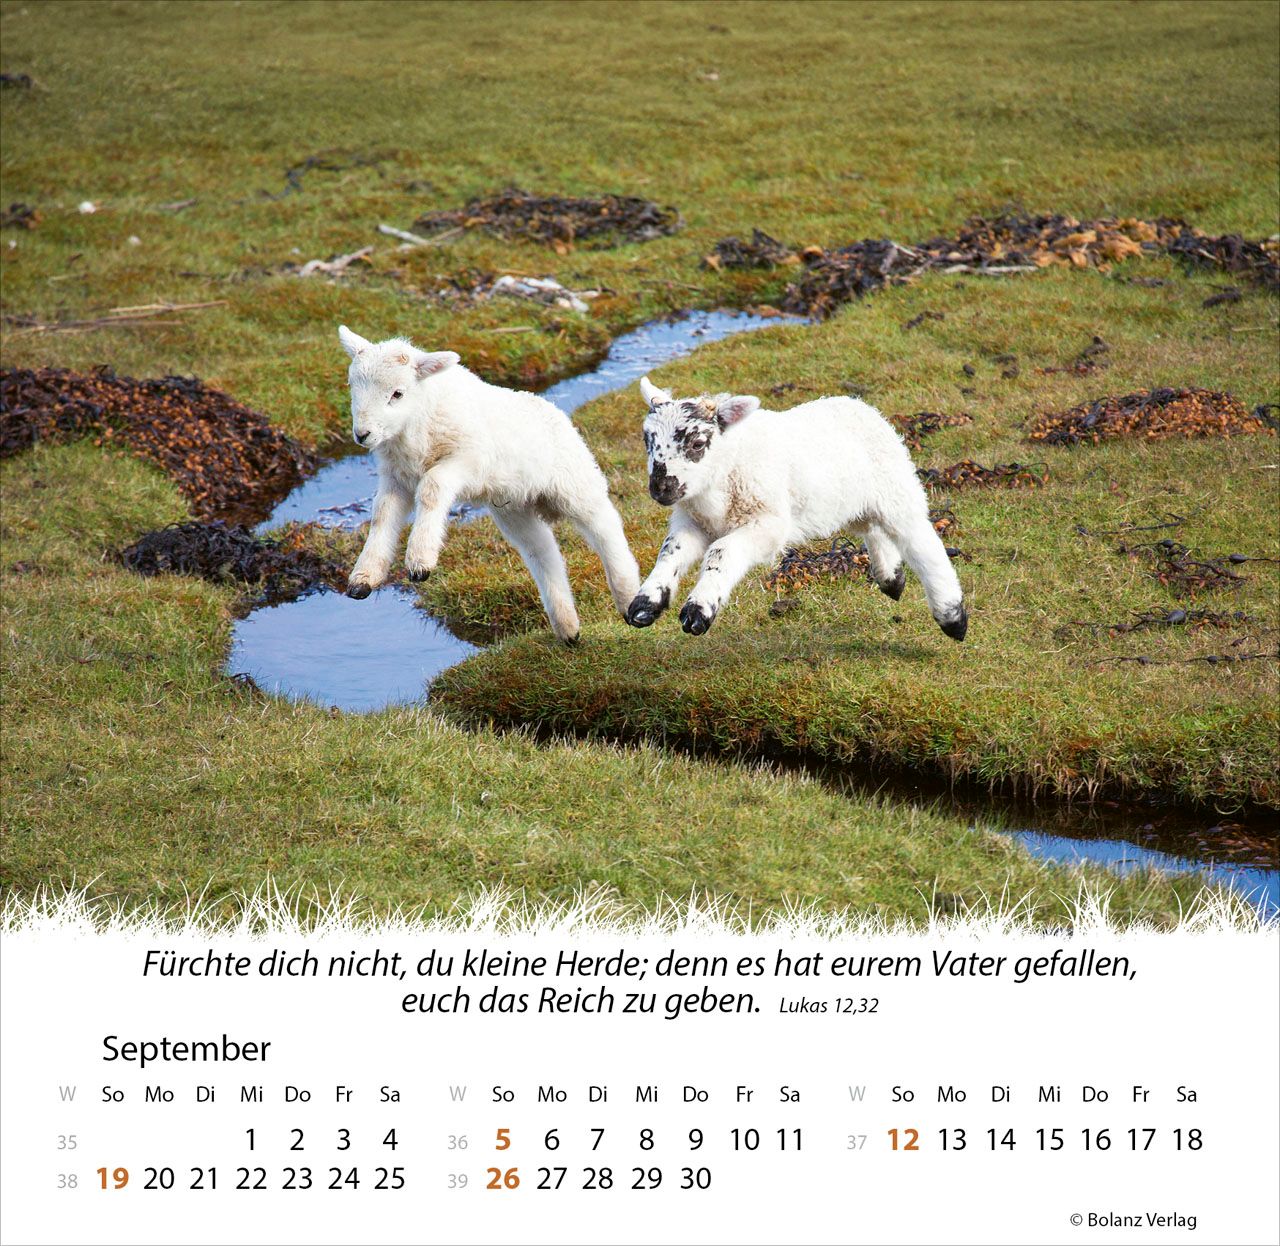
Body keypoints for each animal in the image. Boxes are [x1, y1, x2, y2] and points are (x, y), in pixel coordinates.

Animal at [337, 325, 639, 643]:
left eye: (397, 393)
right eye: (351, 385)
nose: (362, 434)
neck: (415, 426)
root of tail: (554, 411)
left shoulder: (467, 460)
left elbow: (432, 489)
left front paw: (420, 561)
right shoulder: (395, 478)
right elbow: (382, 514)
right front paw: (364, 577)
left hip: (574, 482)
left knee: (605, 527)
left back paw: (627, 597)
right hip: (512, 507)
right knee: (543, 551)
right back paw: (567, 627)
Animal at [625, 376, 968, 641]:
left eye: (697, 444)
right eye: (646, 441)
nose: (660, 488)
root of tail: (860, 406)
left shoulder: (768, 523)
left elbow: (721, 552)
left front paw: (698, 610)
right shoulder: (692, 522)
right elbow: (671, 551)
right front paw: (645, 604)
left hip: (896, 488)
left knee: (922, 543)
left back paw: (952, 618)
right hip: (855, 502)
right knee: (874, 529)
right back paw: (891, 579)